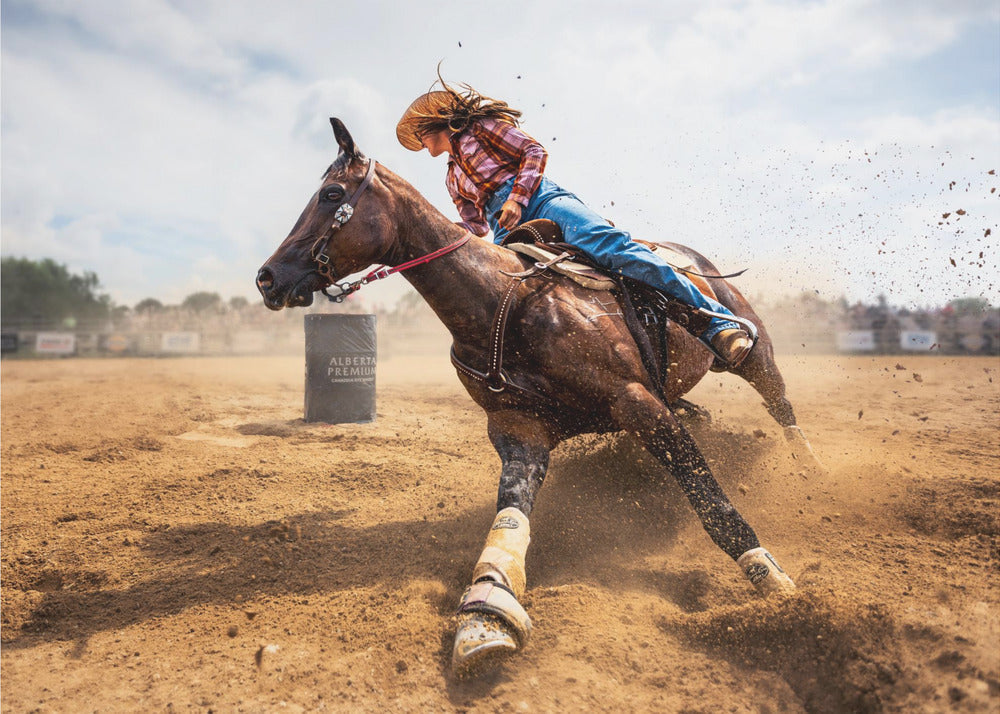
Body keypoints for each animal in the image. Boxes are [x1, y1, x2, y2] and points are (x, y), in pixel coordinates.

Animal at [256, 118, 820, 676]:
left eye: (332, 193)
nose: (267, 277)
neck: (500, 302)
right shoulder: (518, 430)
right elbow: (510, 518)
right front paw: (486, 613)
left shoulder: (638, 404)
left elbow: (712, 504)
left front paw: (778, 588)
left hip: (754, 353)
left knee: (780, 404)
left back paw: (809, 467)